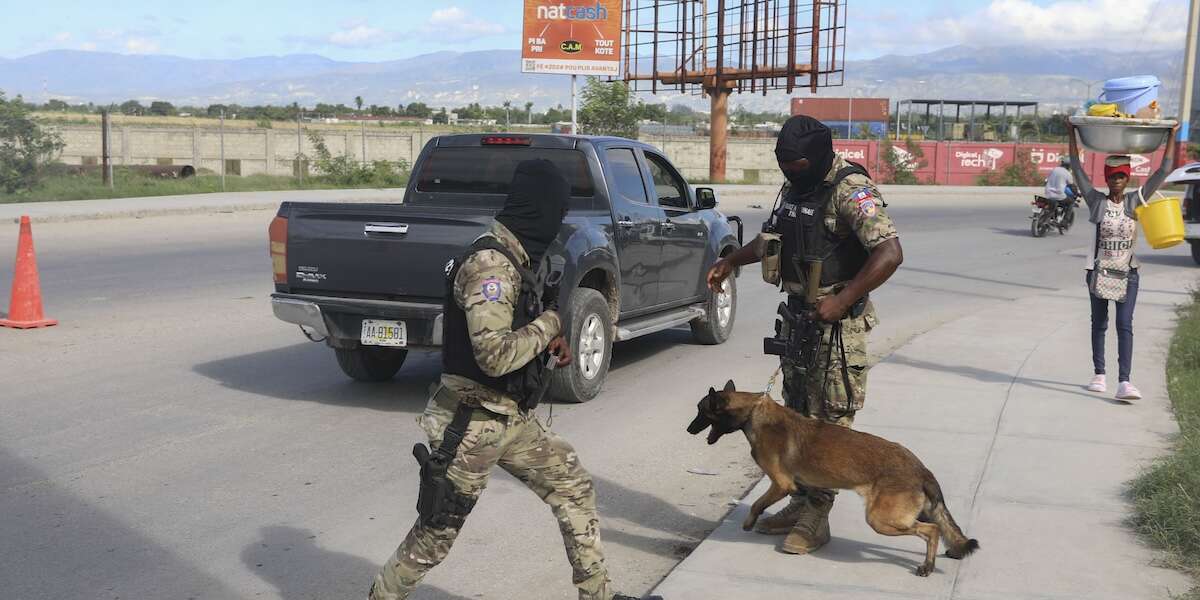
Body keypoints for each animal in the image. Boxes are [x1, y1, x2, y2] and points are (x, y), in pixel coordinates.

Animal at [691, 379, 979, 576]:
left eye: (701, 411)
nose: (688, 429)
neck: (753, 411)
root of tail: (921, 468)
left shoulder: (781, 484)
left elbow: (757, 503)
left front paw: (749, 523)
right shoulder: (794, 485)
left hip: (880, 519)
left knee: (932, 531)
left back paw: (927, 565)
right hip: (911, 513)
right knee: (939, 527)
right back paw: (943, 555)